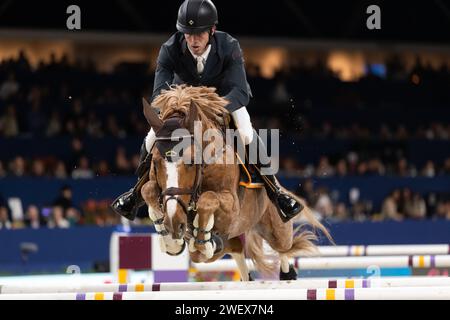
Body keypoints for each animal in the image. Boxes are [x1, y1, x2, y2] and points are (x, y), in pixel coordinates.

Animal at [141, 85, 330, 280]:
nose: (174, 223)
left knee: (283, 248)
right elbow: (147, 190)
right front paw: (168, 236)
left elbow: (208, 199)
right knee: (233, 248)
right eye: (155, 162)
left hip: (277, 229)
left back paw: (287, 274)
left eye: (191, 161)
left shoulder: (231, 206)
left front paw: (201, 232)